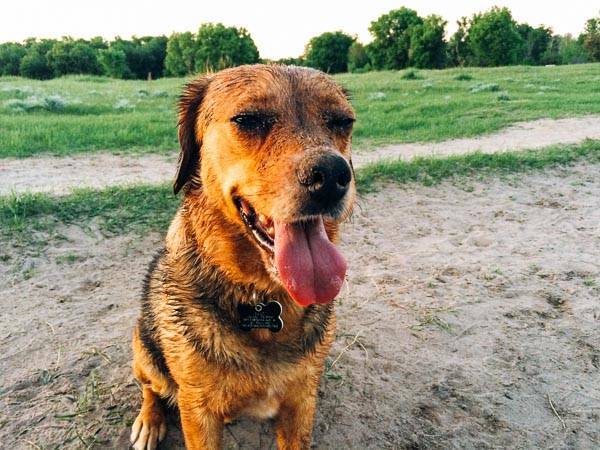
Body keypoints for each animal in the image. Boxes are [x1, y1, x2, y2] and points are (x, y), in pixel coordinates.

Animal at [131, 64, 354, 450]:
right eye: (249, 120)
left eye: (343, 121)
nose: (332, 176)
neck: (262, 295)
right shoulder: (198, 410)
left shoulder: (301, 399)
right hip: (144, 348)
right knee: (151, 387)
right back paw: (149, 420)